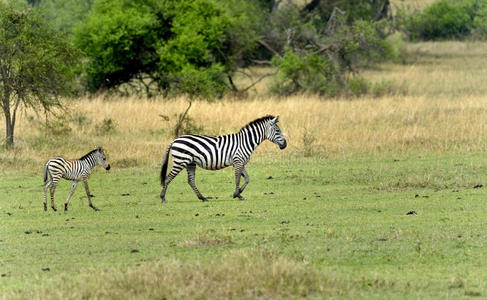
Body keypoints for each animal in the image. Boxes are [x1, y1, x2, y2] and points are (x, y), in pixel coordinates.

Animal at [160, 114, 288, 202]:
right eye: (278, 130)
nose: (285, 145)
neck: (245, 142)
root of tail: (175, 140)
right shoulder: (238, 161)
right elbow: (238, 179)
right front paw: (237, 195)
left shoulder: (241, 162)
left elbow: (247, 178)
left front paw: (238, 194)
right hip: (180, 161)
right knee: (168, 177)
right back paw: (163, 198)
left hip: (190, 163)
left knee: (190, 181)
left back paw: (203, 198)